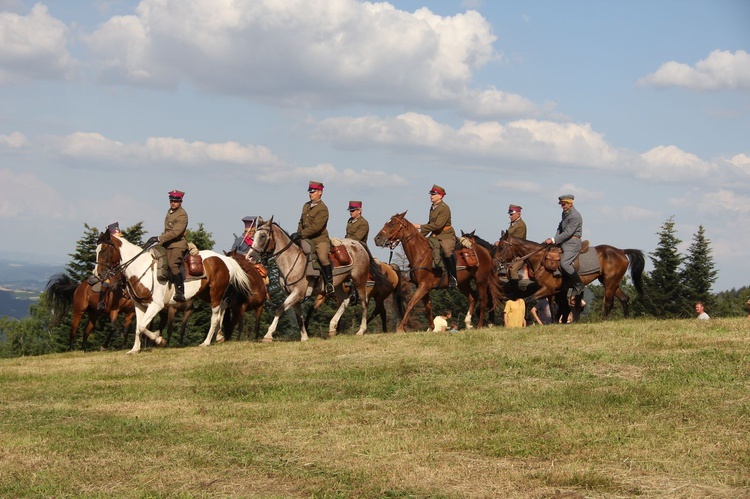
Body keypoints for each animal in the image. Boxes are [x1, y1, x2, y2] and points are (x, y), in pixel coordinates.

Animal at [96, 231, 253, 354]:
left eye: (104, 250)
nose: (98, 275)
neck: (142, 268)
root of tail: (225, 259)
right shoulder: (139, 305)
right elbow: (138, 327)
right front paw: (135, 349)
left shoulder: (156, 305)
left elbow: (142, 326)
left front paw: (159, 339)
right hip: (207, 294)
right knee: (222, 308)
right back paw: (219, 336)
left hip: (215, 293)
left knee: (215, 316)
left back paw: (206, 342)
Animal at [490, 231, 648, 318]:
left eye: (501, 247)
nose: (495, 264)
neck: (540, 258)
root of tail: (621, 251)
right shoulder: (553, 291)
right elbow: (554, 308)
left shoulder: (547, 289)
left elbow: (529, 300)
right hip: (611, 282)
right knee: (624, 299)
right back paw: (625, 318)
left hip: (610, 283)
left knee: (609, 303)